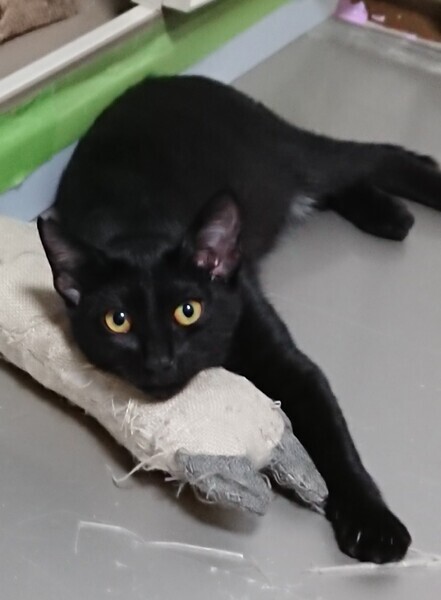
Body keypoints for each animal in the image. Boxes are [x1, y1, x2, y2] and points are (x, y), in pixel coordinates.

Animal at [37, 75, 441, 564]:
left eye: (188, 310)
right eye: (118, 321)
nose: (160, 360)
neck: (138, 225)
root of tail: (167, 80)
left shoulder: (286, 357)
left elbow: (334, 439)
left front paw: (372, 522)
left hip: (285, 152)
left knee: (370, 158)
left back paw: (407, 199)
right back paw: (389, 215)